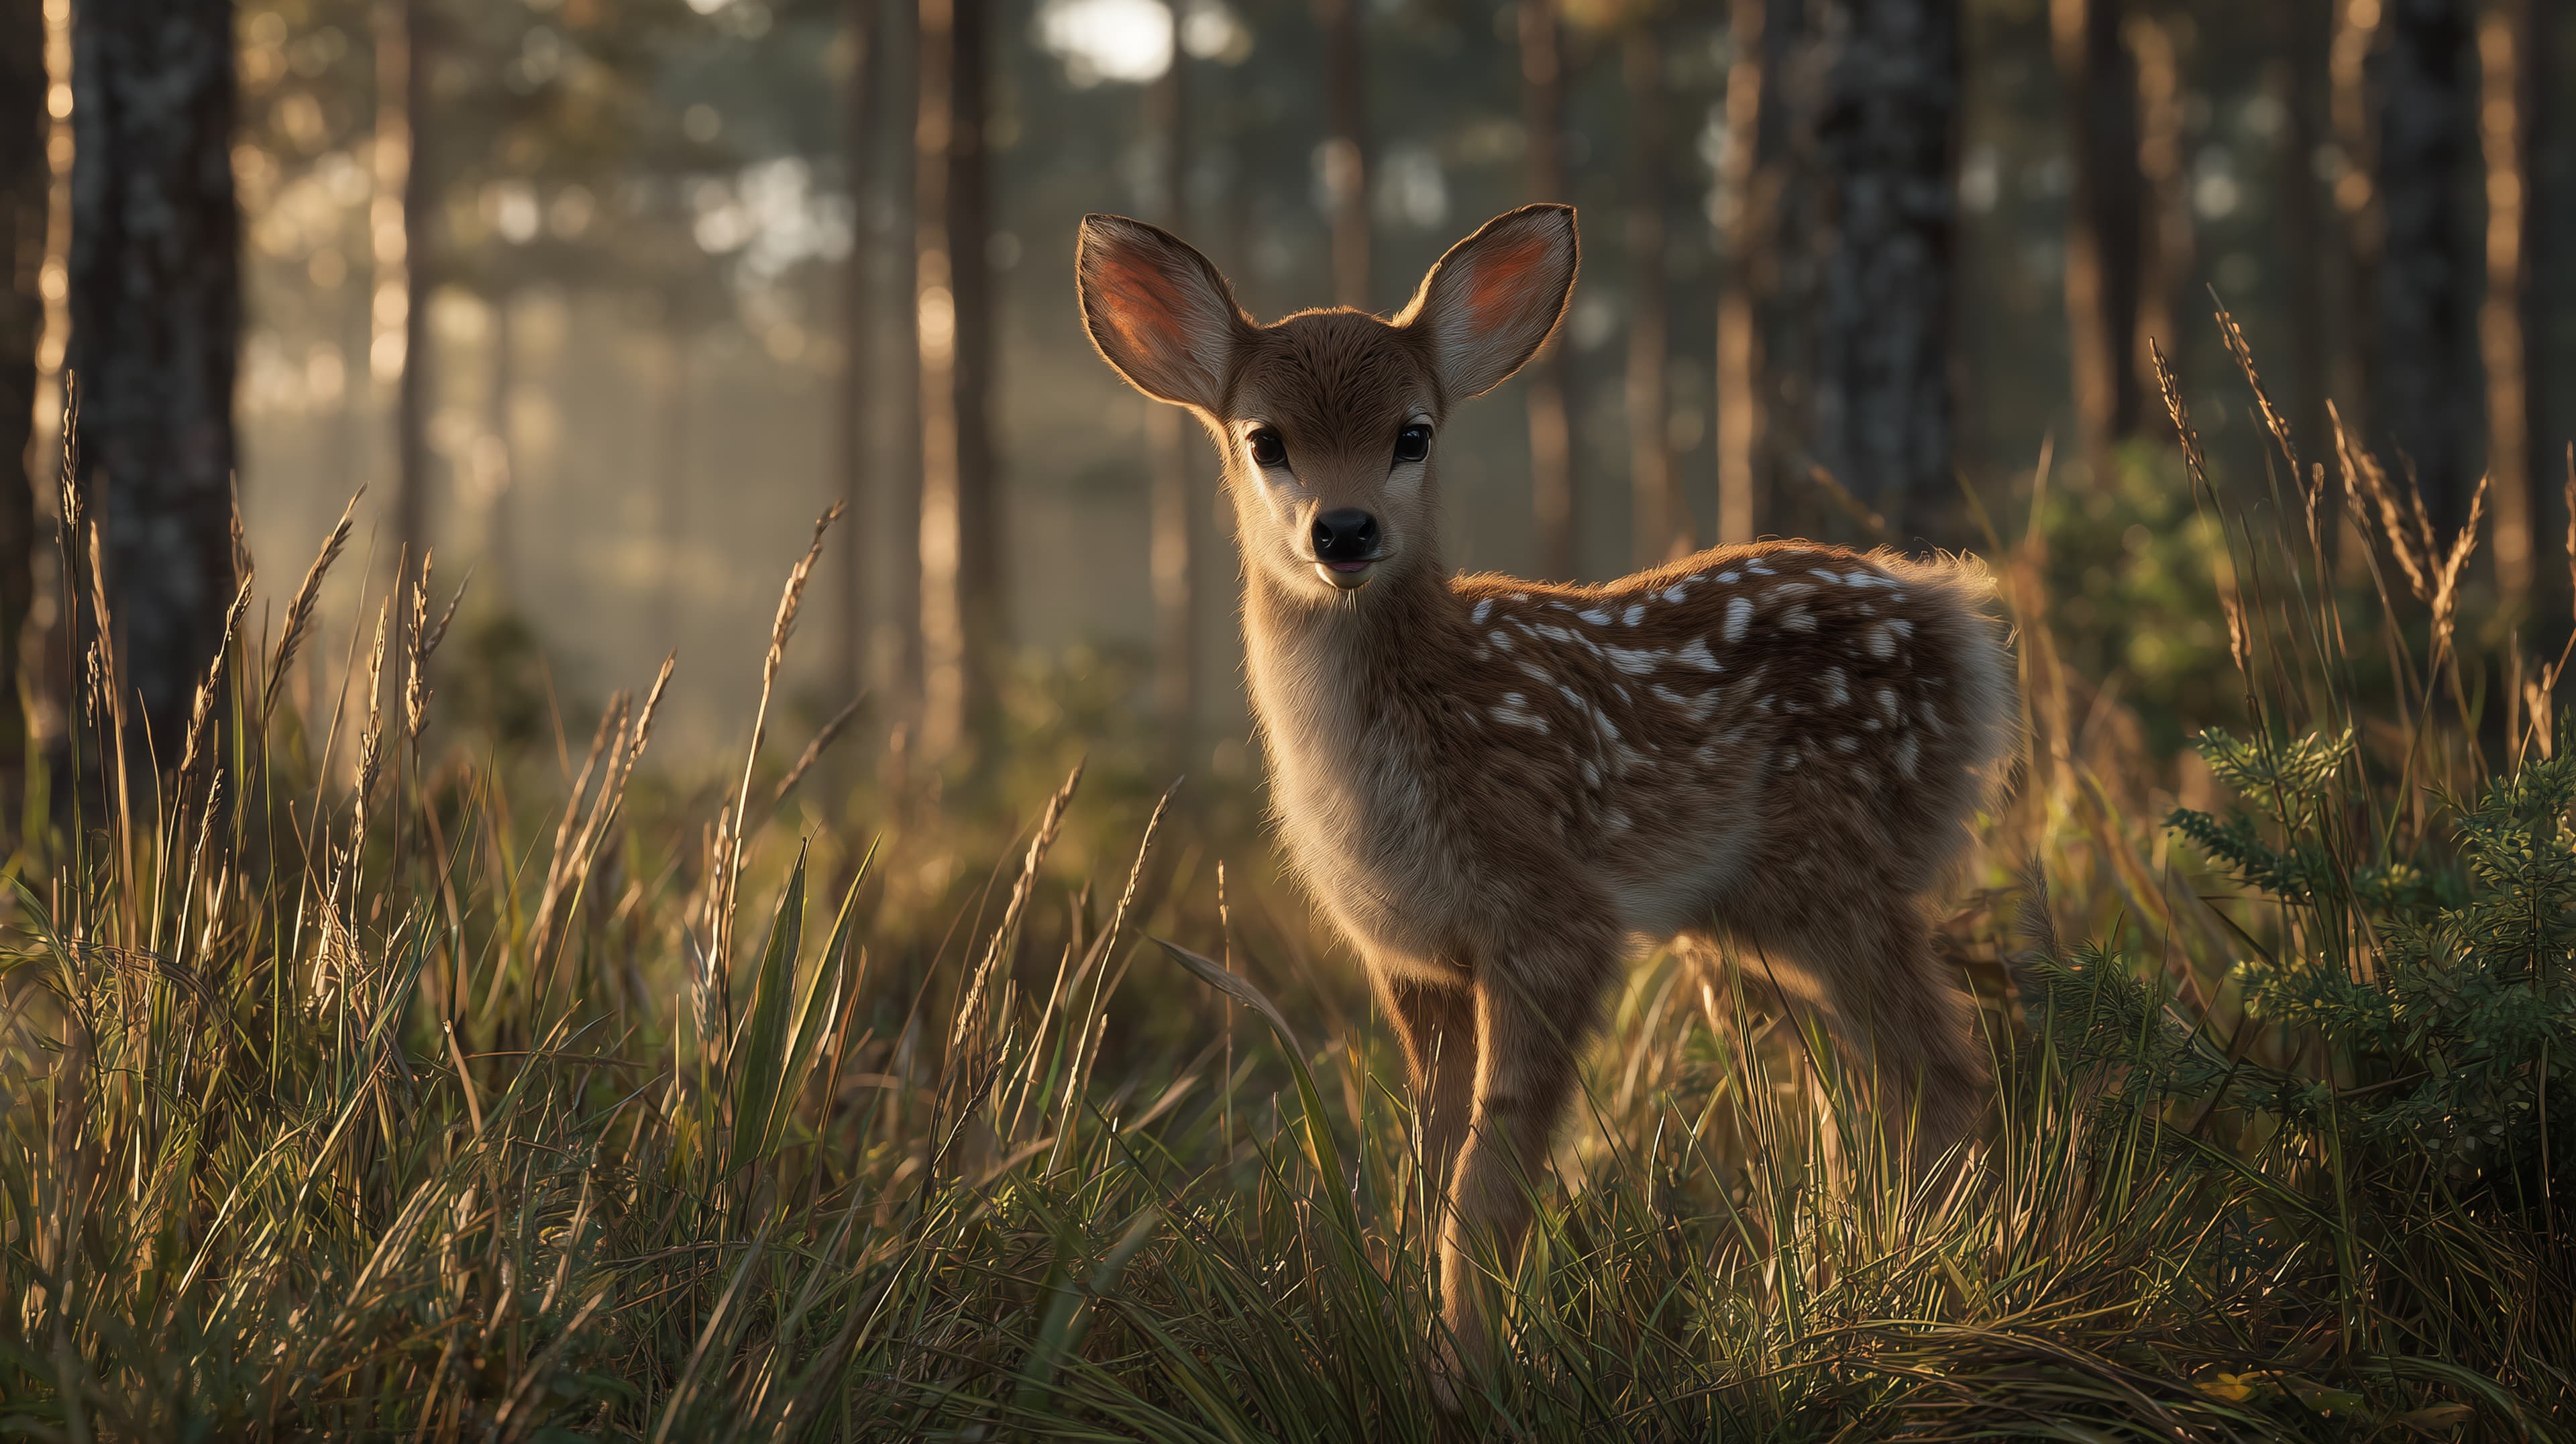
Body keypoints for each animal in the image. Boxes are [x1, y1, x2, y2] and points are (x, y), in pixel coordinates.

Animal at [1075, 203, 2014, 1395]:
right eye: (1265, 439)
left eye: (1414, 433)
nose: (1345, 531)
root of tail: (1961, 620)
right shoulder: (1413, 956)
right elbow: (1427, 1157)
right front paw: (1412, 1337)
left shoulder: (1553, 919)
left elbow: (1492, 1175)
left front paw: (1466, 1376)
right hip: (1763, 921)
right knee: (1862, 1092)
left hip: (1836, 870)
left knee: (1940, 1070)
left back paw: (1907, 1298)